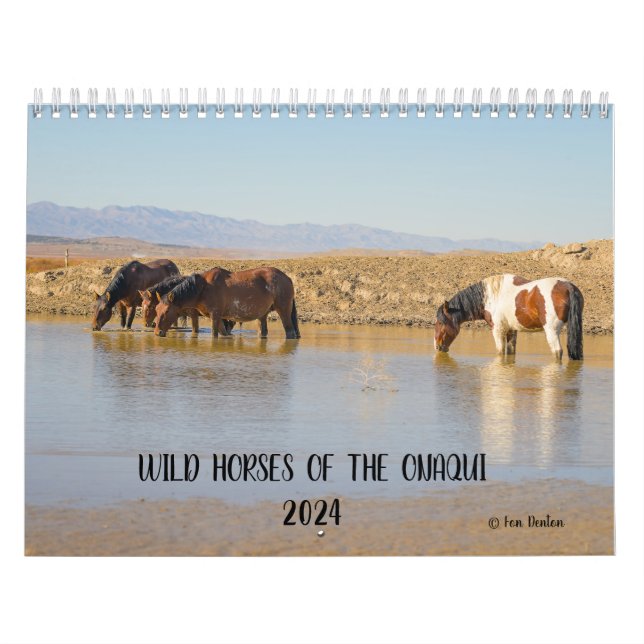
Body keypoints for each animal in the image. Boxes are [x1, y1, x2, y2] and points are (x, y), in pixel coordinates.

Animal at [154, 267, 300, 339]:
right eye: (156, 310)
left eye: (167, 311)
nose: (157, 332)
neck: (203, 288)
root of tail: (287, 278)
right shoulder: (218, 317)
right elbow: (224, 333)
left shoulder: (215, 315)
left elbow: (214, 335)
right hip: (262, 315)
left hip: (284, 311)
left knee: (290, 332)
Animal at [434, 274, 584, 360]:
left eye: (440, 322)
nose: (437, 346)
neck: (490, 297)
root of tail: (568, 286)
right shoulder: (512, 330)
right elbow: (511, 352)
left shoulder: (497, 330)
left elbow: (500, 352)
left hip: (551, 331)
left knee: (557, 352)